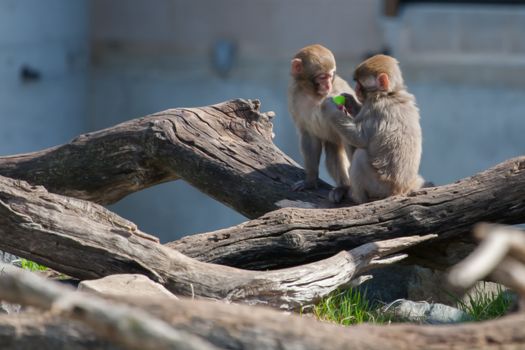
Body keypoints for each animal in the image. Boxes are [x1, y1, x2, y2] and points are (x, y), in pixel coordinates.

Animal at [286, 43, 356, 202]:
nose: (328, 85)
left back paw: (345, 187)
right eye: (322, 76)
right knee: (332, 152)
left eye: (331, 75)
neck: (314, 95)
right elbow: (309, 136)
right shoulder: (295, 96)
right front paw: (310, 181)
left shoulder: (340, 90)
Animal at [320, 53, 426, 204]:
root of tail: (399, 190)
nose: (356, 89)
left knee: (360, 156)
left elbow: (359, 138)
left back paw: (357, 197)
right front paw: (350, 101)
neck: (389, 93)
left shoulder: (374, 108)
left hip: (379, 186)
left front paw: (329, 107)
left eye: (360, 83)